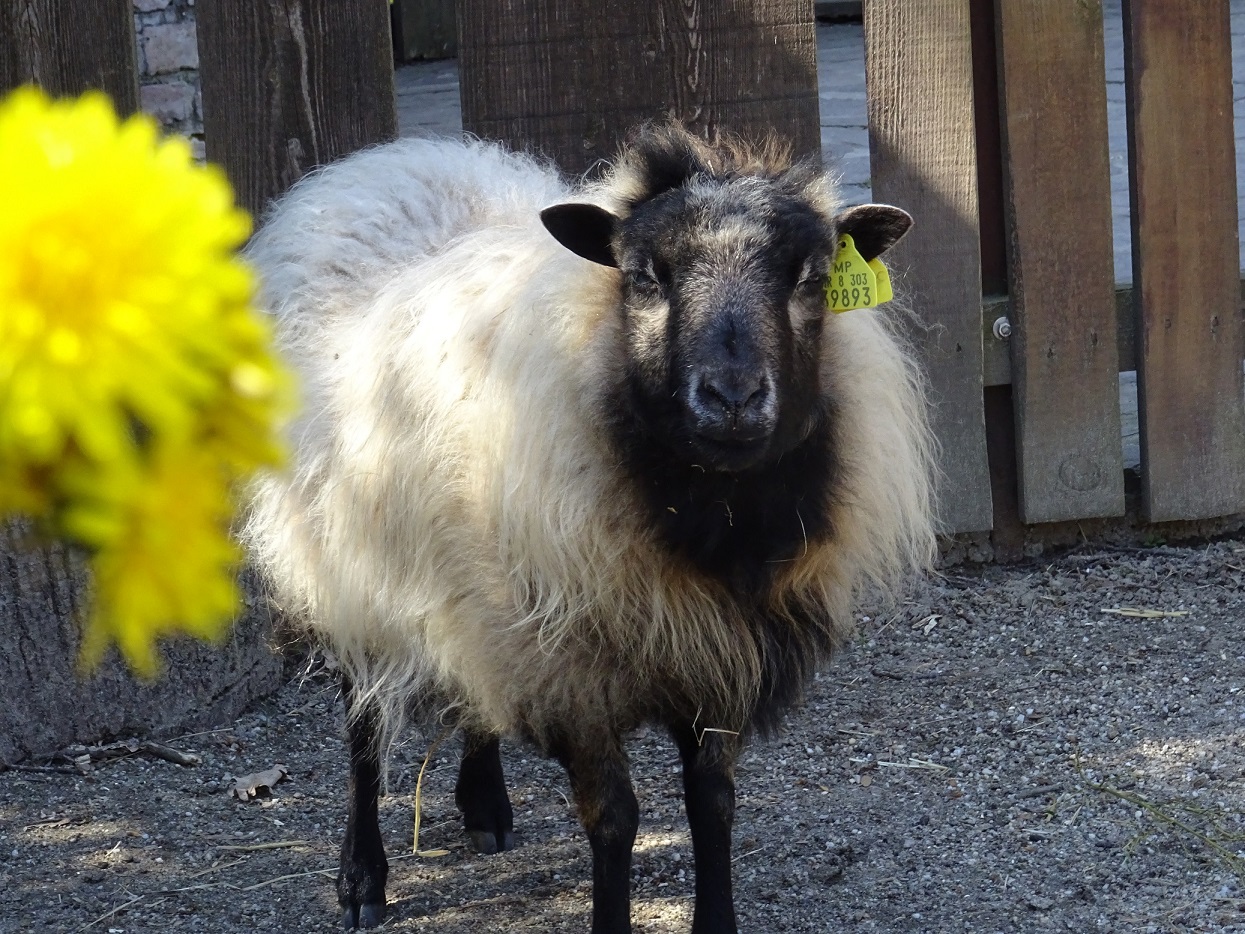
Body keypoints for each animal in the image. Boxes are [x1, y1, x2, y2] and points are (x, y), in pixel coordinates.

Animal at [240, 126, 936, 934]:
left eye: (812, 277)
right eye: (644, 275)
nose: (732, 398)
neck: (708, 523)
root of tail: (391, 160)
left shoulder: (715, 647)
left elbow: (712, 805)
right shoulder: (576, 667)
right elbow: (614, 819)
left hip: (476, 589)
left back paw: (484, 805)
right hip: (343, 559)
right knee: (361, 721)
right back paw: (361, 876)